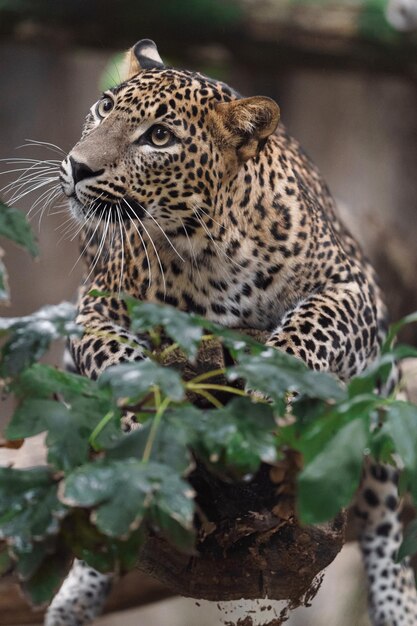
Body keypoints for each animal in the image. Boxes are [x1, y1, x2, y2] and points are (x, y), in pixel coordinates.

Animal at [44, 40, 414, 624]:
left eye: (159, 137)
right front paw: (141, 408)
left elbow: (314, 321)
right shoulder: (92, 307)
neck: (199, 251)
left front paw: (270, 383)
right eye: (104, 107)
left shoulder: (356, 290)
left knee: (383, 517)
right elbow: (112, 356)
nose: (79, 166)